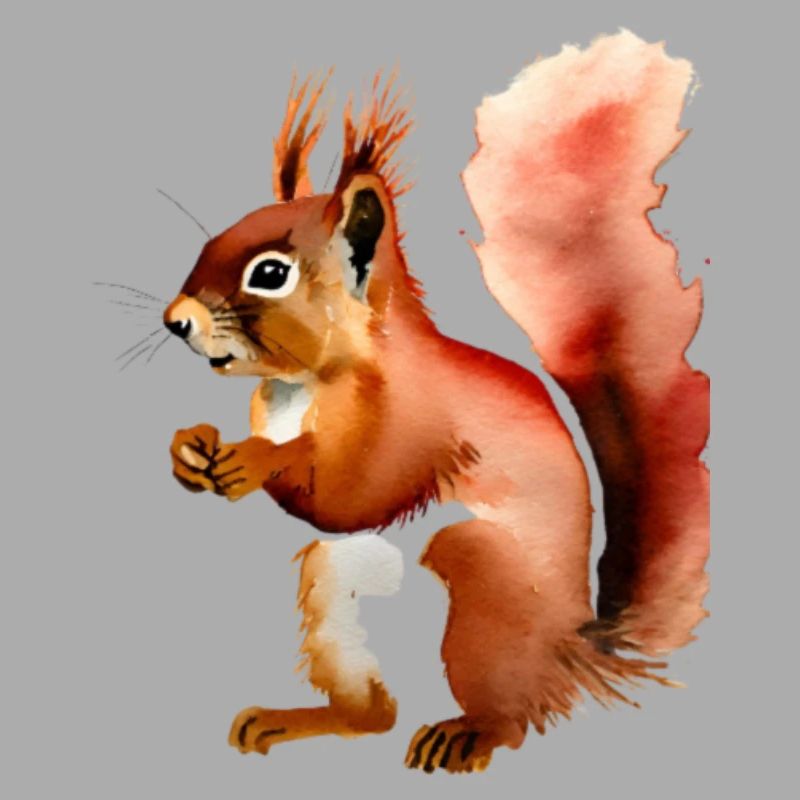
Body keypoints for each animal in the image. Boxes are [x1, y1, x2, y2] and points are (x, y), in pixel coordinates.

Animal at [162, 32, 709, 774]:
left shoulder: (413, 419)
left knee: (512, 713)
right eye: (210, 240)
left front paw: (255, 460)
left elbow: (350, 495)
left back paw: (467, 734)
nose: (174, 320)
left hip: (483, 586)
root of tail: (573, 653)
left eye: (270, 273)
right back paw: (299, 719)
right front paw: (189, 450)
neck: (303, 385)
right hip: (338, 585)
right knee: (374, 713)